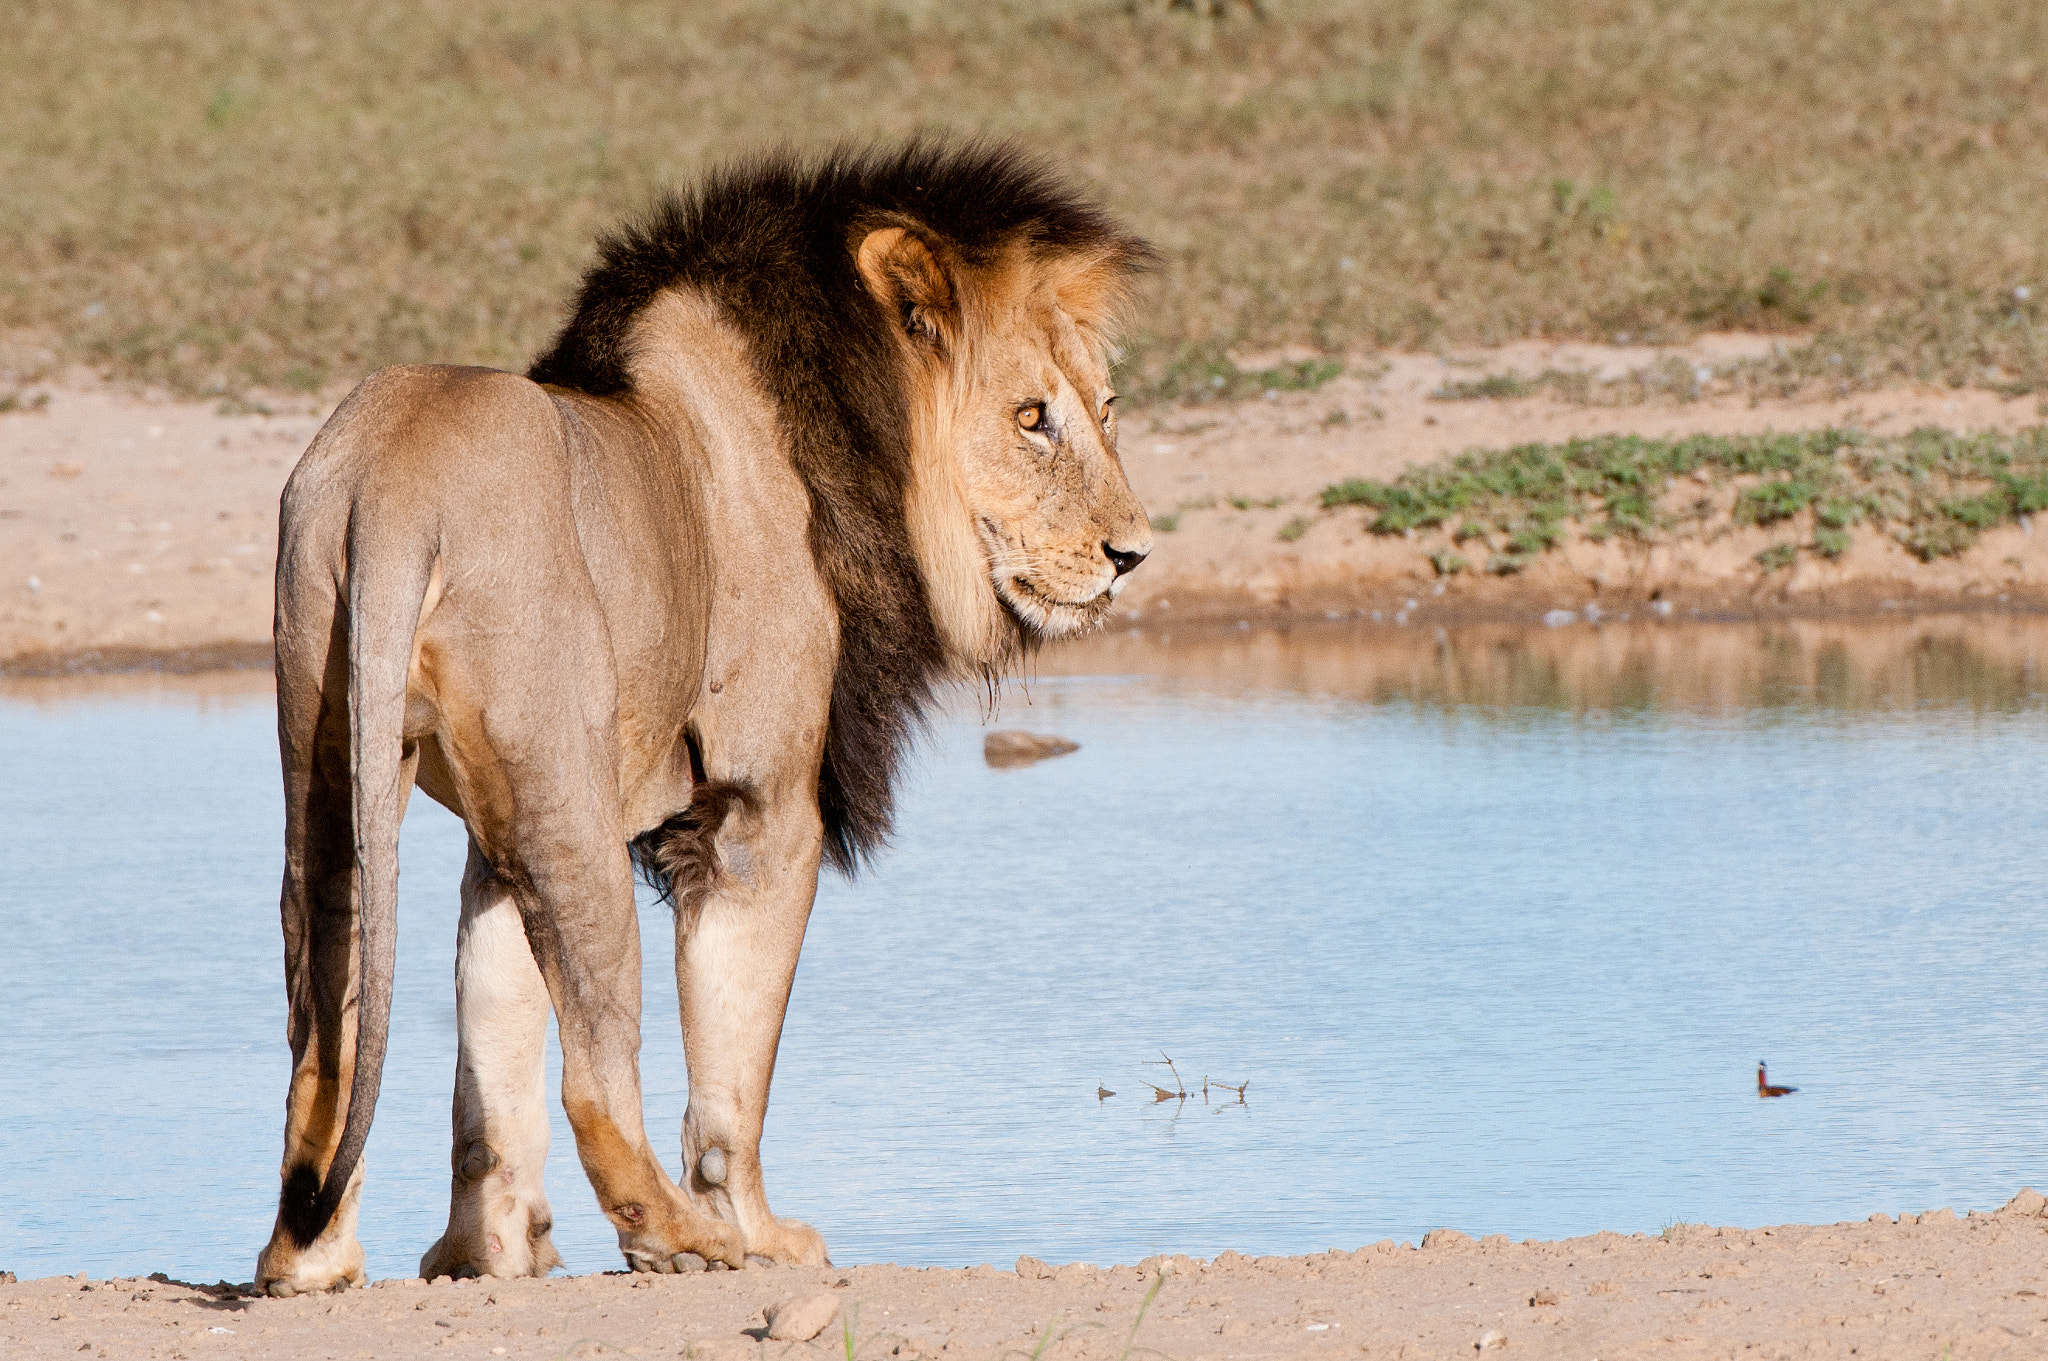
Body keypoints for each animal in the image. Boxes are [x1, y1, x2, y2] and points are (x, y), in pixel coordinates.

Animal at [247, 140, 1163, 1293]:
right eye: (1032, 417)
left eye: (1107, 406)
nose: (1132, 552)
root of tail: (395, 487)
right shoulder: (758, 810)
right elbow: (733, 1071)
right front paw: (761, 1233)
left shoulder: (496, 839)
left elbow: (492, 1054)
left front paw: (487, 1251)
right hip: (573, 819)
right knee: (596, 1081)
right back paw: (684, 1237)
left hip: (335, 766)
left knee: (325, 1033)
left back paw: (309, 1255)